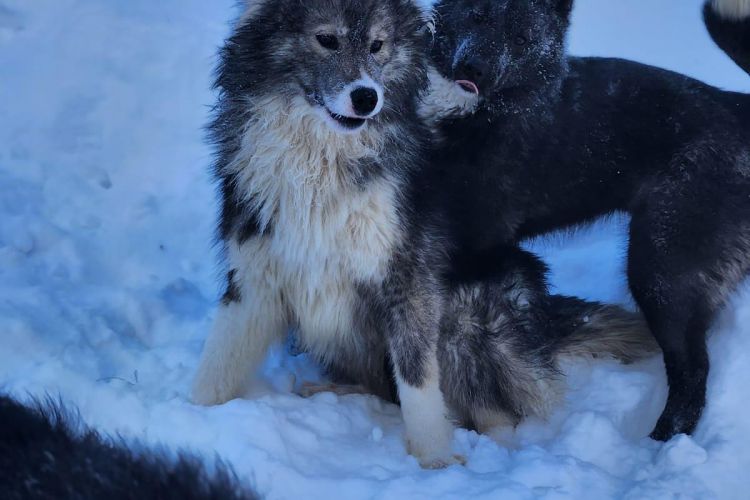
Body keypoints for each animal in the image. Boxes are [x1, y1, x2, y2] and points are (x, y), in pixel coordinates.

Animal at [426, 0, 750, 440]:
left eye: (522, 39)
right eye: (479, 16)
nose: (475, 69)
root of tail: (737, 105)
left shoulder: (478, 242)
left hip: (661, 270)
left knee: (693, 372)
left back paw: (660, 440)